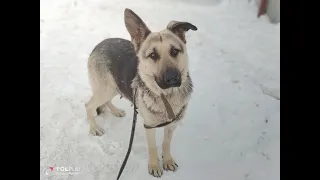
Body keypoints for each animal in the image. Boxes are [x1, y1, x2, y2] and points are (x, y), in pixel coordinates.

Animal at [84, 8, 198, 177]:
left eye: (175, 51)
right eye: (153, 55)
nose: (172, 78)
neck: (167, 96)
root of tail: (101, 44)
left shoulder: (172, 125)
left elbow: (166, 143)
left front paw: (168, 160)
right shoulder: (149, 126)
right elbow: (153, 147)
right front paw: (154, 166)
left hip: (114, 87)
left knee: (106, 101)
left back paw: (116, 111)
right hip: (106, 89)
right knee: (89, 106)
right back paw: (94, 128)